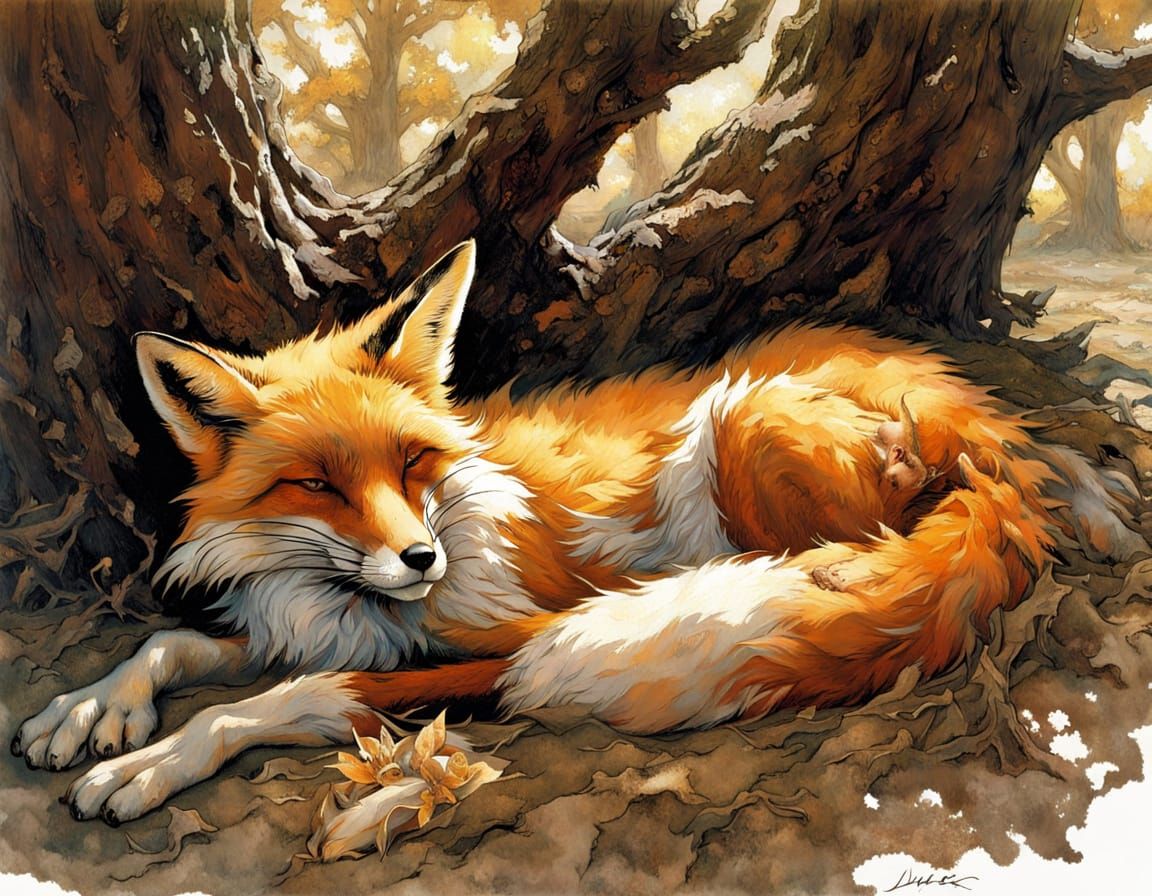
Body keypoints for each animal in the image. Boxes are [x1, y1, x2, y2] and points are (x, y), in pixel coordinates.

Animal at [13, 241, 1143, 826]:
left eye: (412, 463)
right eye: (317, 485)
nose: (419, 558)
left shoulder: (504, 641)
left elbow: (282, 699)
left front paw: (153, 763)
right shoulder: (309, 620)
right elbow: (174, 643)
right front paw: (87, 713)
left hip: (742, 418)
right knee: (1057, 458)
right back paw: (1104, 503)